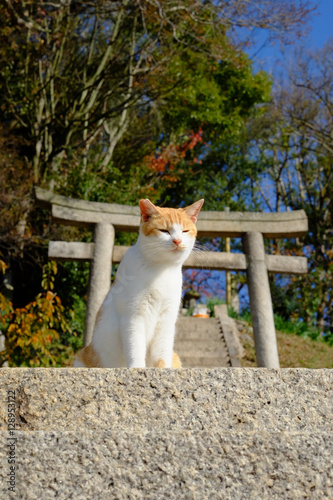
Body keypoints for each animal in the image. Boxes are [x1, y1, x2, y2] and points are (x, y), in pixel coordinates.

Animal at [73, 198, 202, 368]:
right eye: (164, 231)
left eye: (185, 231)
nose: (177, 240)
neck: (161, 270)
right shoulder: (133, 317)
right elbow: (135, 348)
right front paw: (137, 368)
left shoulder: (167, 319)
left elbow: (162, 354)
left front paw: (162, 369)